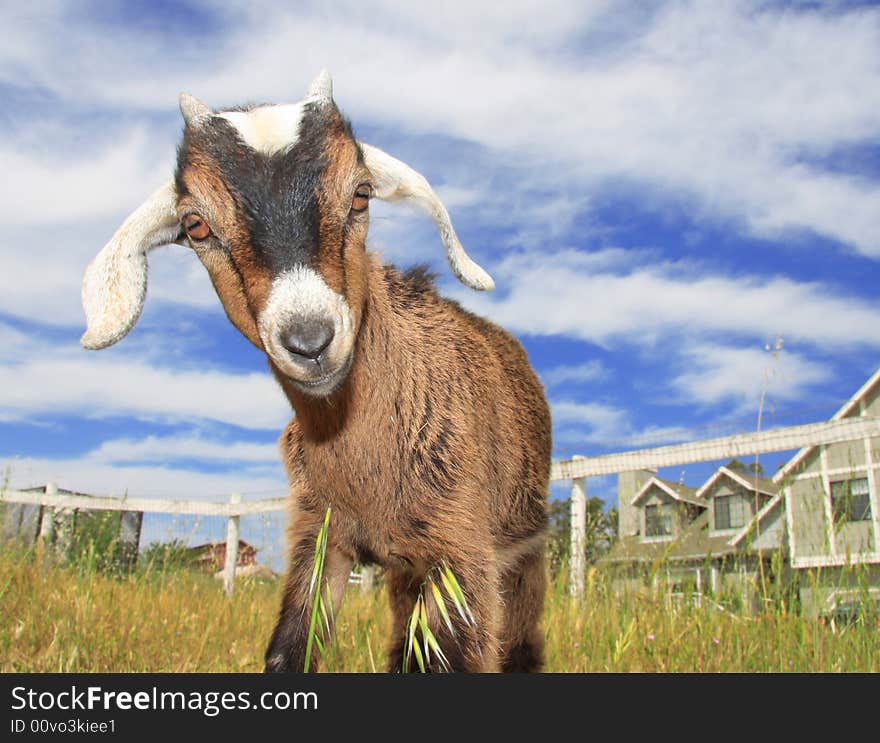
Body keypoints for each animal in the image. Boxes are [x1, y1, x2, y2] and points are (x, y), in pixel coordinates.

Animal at [81, 71, 552, 676]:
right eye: (195, 225)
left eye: (361, 193)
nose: (310, 340)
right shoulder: (318, 534)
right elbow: (291, 647)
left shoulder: (461, 545)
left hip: (521, 549)